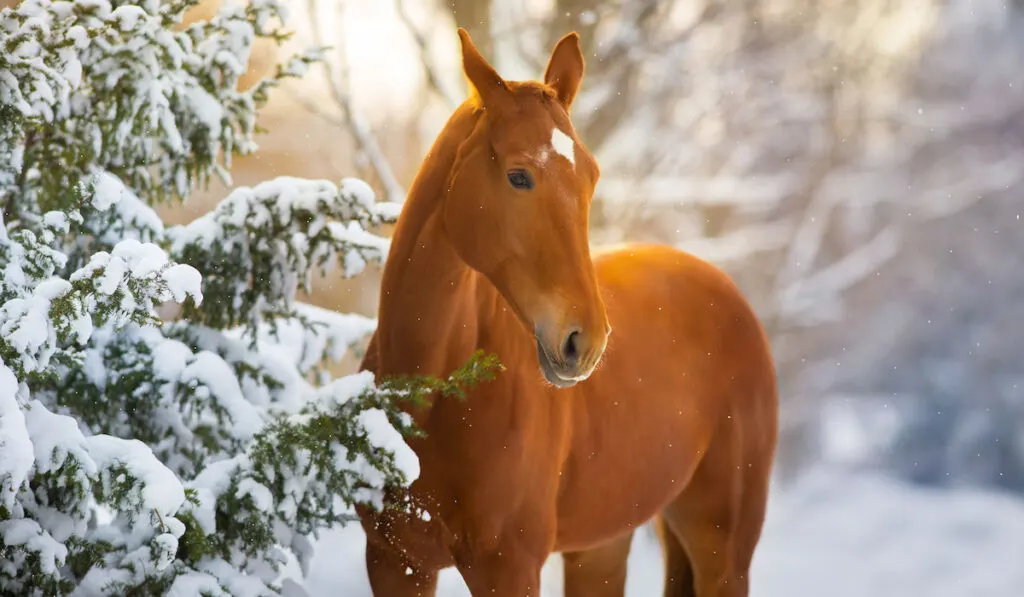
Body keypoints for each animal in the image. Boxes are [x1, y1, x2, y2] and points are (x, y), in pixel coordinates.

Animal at [356, 25, 778, 593]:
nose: (587, 341)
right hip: (603, 545)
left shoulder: (508, 567)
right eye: (518, 176)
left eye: (592, 177)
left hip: (723, 547)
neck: (430, 397)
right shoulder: (394, 560)